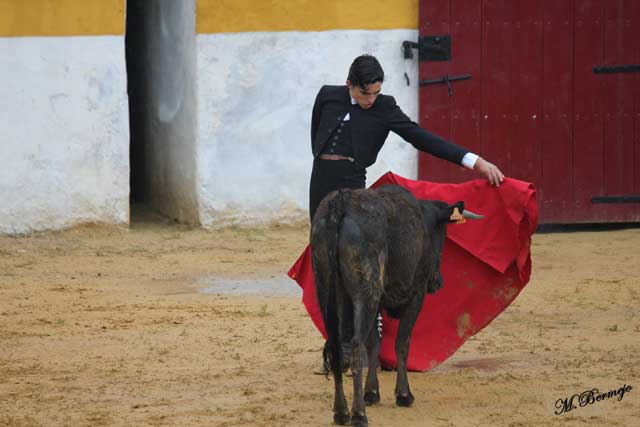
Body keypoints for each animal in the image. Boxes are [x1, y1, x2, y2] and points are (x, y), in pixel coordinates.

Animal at [312, 185, 484, 427]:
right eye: (442, 235)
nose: (438, 281)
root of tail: (340, 204)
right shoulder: (415, 295)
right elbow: (402, 343)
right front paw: (404, 395)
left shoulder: (377, 302)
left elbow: (375, 343)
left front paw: (372, 393)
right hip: (366, 291)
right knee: (355, 347)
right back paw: (358, 415)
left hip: (325, 288)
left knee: (337, 346)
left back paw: (341, 412)